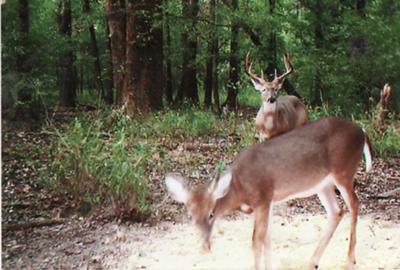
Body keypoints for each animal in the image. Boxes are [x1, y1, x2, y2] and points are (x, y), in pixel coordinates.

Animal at [165, 117, 372, 270]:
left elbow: (256, 241)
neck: (239, 188)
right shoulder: (269, 202)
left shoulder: (263, 197)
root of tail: (362, 132)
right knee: (336, 211)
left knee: (354, 204)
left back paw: (350, 261)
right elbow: (267, 239)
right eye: (190, 216)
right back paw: (313, 261)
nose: (205, 246)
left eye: (211, 214)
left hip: (344, 171)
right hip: (323, 184)